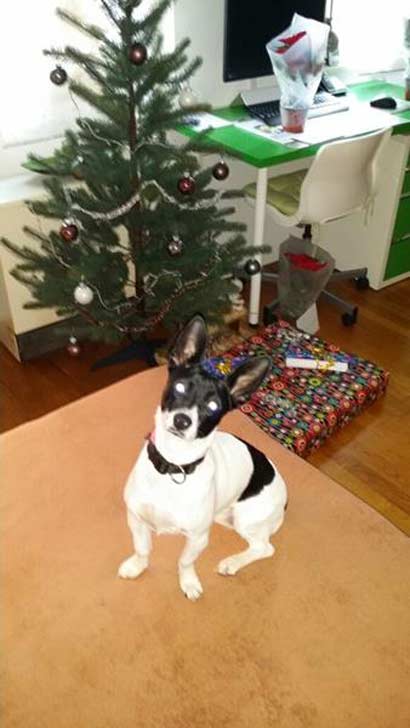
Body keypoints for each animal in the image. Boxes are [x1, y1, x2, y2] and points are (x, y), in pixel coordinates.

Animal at [118, 315, 288, 600]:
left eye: (213, 406)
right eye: (179, 387)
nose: (182, 420)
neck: (174, 464)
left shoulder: (197, 538)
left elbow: (185, 561)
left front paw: (188, 583)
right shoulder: (136, 519)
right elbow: (142, 549)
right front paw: (136, 566)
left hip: (247, 519)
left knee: (264, 548)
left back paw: (232, 563)